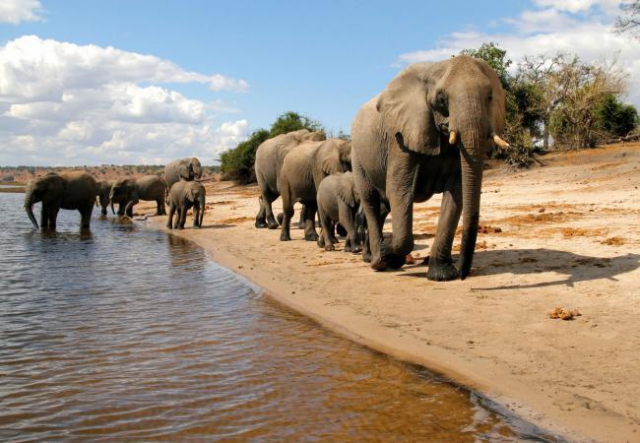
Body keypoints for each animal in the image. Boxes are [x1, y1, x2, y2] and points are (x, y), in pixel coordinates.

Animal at [352, 56, 508, 280]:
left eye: (489, 97)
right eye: (442, 99)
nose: (463, 273)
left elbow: (457, 193)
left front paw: (442, 275)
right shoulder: (401, 139)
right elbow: (399, 190)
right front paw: (389, 253)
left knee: (383, 207)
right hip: (357, 156)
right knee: (371, 201)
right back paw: (378, 262)